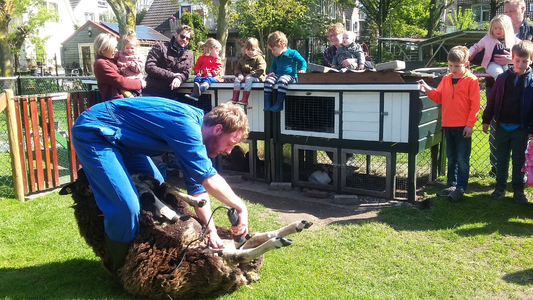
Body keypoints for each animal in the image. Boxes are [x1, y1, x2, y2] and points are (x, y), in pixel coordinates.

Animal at [59, 169, 312, 298]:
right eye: (80, 182)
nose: (81, 170)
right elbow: (156, 195)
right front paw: (166, 211)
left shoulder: (160, 193)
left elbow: (169, 188)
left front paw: (192, 202)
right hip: (199, 256)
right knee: (236, 254)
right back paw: (281, 240)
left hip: (215, 239)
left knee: (249, 241)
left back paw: (294, 227)